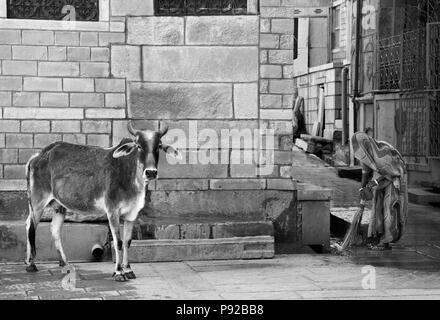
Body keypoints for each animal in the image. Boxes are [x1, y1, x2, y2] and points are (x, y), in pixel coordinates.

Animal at [24, 121, 180, 282]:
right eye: (138, 145)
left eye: (159, 145)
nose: (151, 172)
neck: (130, 175)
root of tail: (39, 155)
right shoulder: (112, 211)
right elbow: (118, 242)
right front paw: (118, 272)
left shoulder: (132, 214)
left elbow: (127, 242)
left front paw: (128, 270)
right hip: (37, 201)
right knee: (30, 225)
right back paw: (31, 264)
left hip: (60, 206)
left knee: (54, 229)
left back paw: (65, 263)